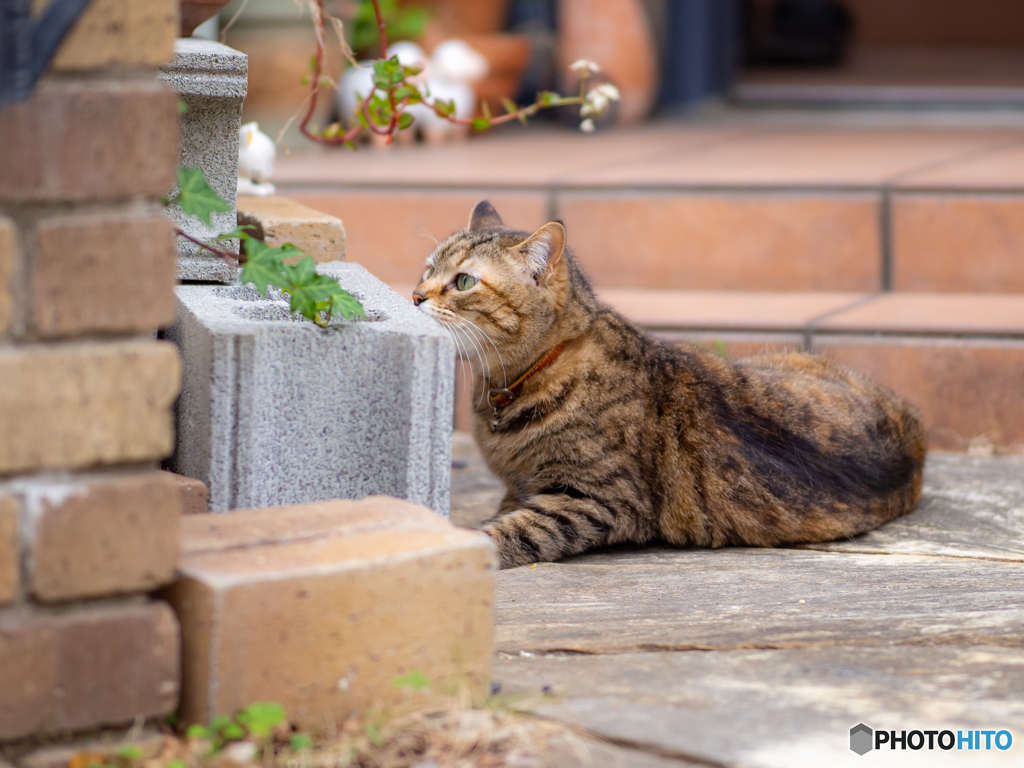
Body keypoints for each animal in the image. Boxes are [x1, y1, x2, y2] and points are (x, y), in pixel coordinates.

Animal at [409, 201, 929, 569]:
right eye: (428, 268)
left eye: (464, 281)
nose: (414, 296)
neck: (515, 379)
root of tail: (916, 438)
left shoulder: (595, 499)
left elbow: (508, 531)